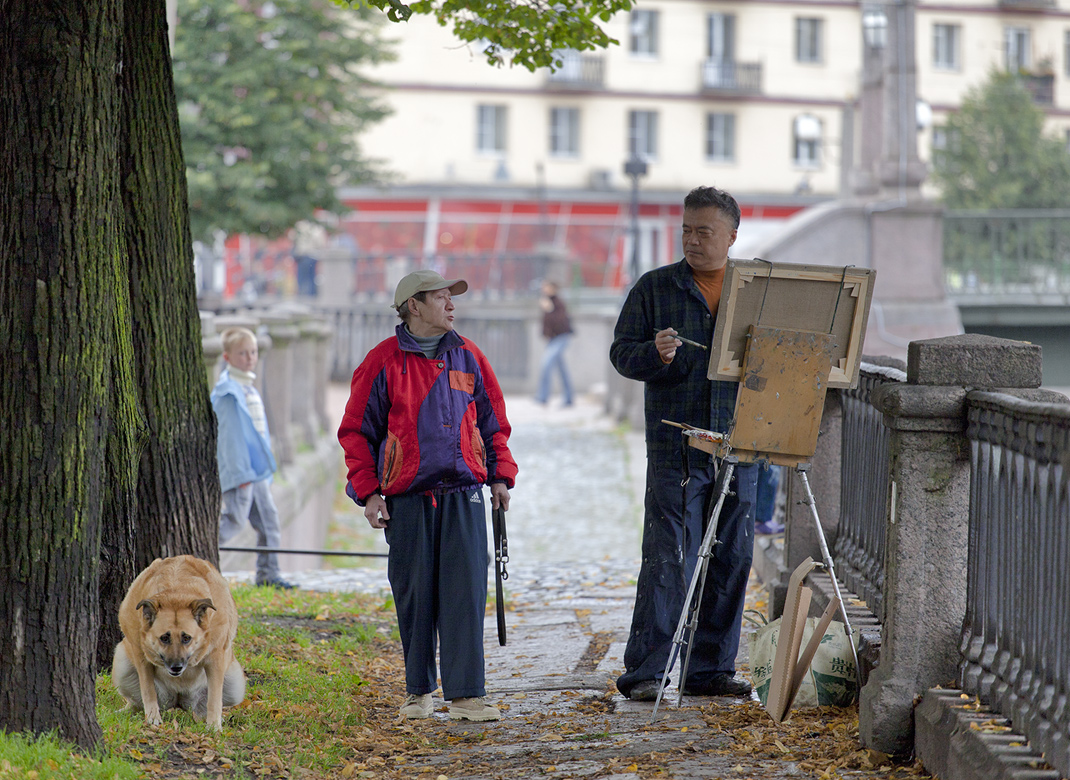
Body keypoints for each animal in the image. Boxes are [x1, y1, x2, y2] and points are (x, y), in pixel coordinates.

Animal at [112, 552, 246, 731]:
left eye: (186, 638)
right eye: (164, 637)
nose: (176, 667)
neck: (175, 593)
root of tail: (178, 701)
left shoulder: (216, 659)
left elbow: (215, 698)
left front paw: (214, 726)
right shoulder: (141, 656)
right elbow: (147, 690)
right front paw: (153, 718)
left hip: (235, 682)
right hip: (122, 662)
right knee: (136, 702)